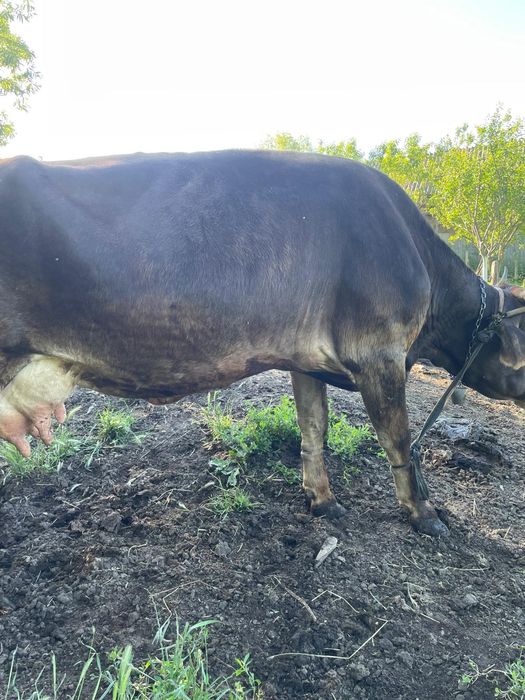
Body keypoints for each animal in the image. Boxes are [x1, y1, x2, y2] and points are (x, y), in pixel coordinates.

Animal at [1, 150, 525, 537]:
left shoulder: (306, 361)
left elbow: (314, 429)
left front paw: (321, 499)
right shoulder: (380, 353)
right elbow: (397, 440)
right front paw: (424, 514)